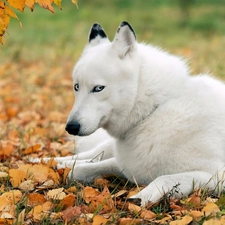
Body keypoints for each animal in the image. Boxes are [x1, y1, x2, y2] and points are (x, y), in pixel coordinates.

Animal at [58, 21, 225, 206]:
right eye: (76, 87)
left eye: (98, 88)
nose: (71, 127)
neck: (153, 111)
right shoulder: (125, 164)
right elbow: (77, 171)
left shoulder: (215, 175)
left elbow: (163, 178)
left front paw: (139, 199)